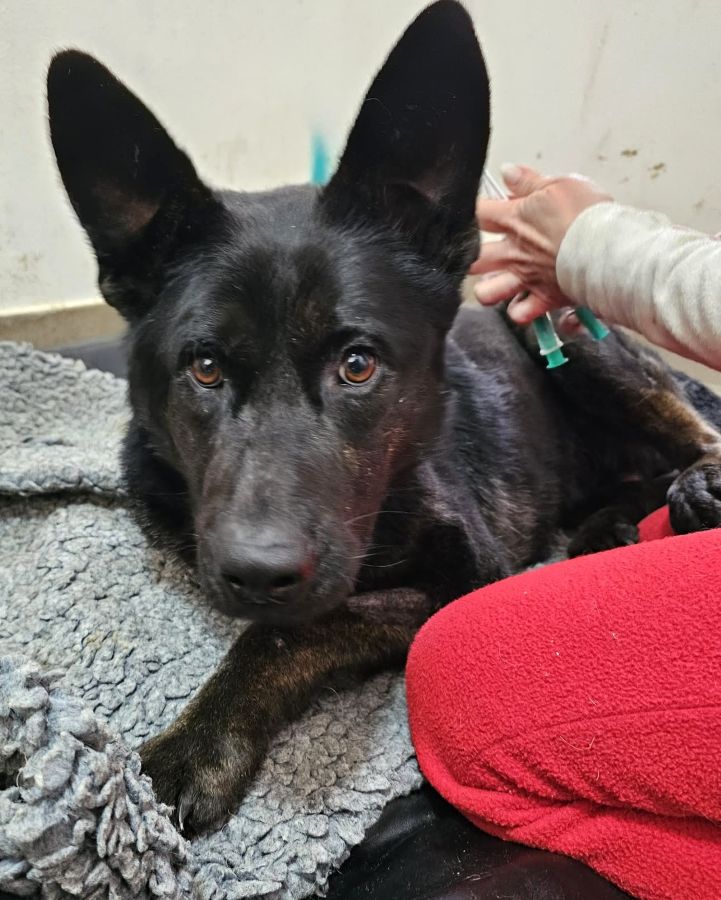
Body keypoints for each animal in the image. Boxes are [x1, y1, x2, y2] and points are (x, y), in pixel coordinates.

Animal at [47, 0, 721, 834]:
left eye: (358, 364)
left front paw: (195, 745)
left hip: (570, 340)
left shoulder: (461, 573)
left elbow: (288, 630)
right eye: (204, 368)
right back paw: (606, 527)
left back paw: (695, 492)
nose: (257, 572)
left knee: (697, 438)